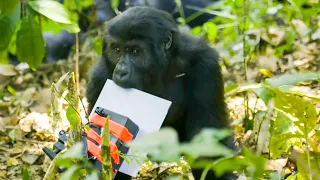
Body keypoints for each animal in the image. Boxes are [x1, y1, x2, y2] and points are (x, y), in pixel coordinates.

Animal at [86, 6, 236, 179]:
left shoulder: (205, 65)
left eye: (135, 52)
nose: (121, 71)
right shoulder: (100, 77)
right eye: (117, 50)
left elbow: (207, 140)